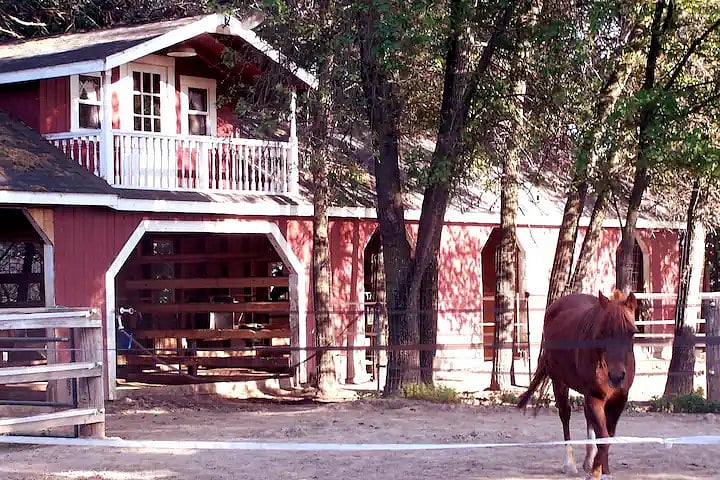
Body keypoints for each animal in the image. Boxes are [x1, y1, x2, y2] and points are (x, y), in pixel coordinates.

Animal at [517, 290, 638, 480]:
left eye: (632, 333)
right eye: (603, 332)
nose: (617, 376)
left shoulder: (619, 400)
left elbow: (608, 436)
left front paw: (604, 470)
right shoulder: (595, 397)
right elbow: (603, 437)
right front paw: (595, 473)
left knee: (588, 417)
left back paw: (588, 461)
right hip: (559, 382)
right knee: (565, 415)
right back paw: (570, 464)